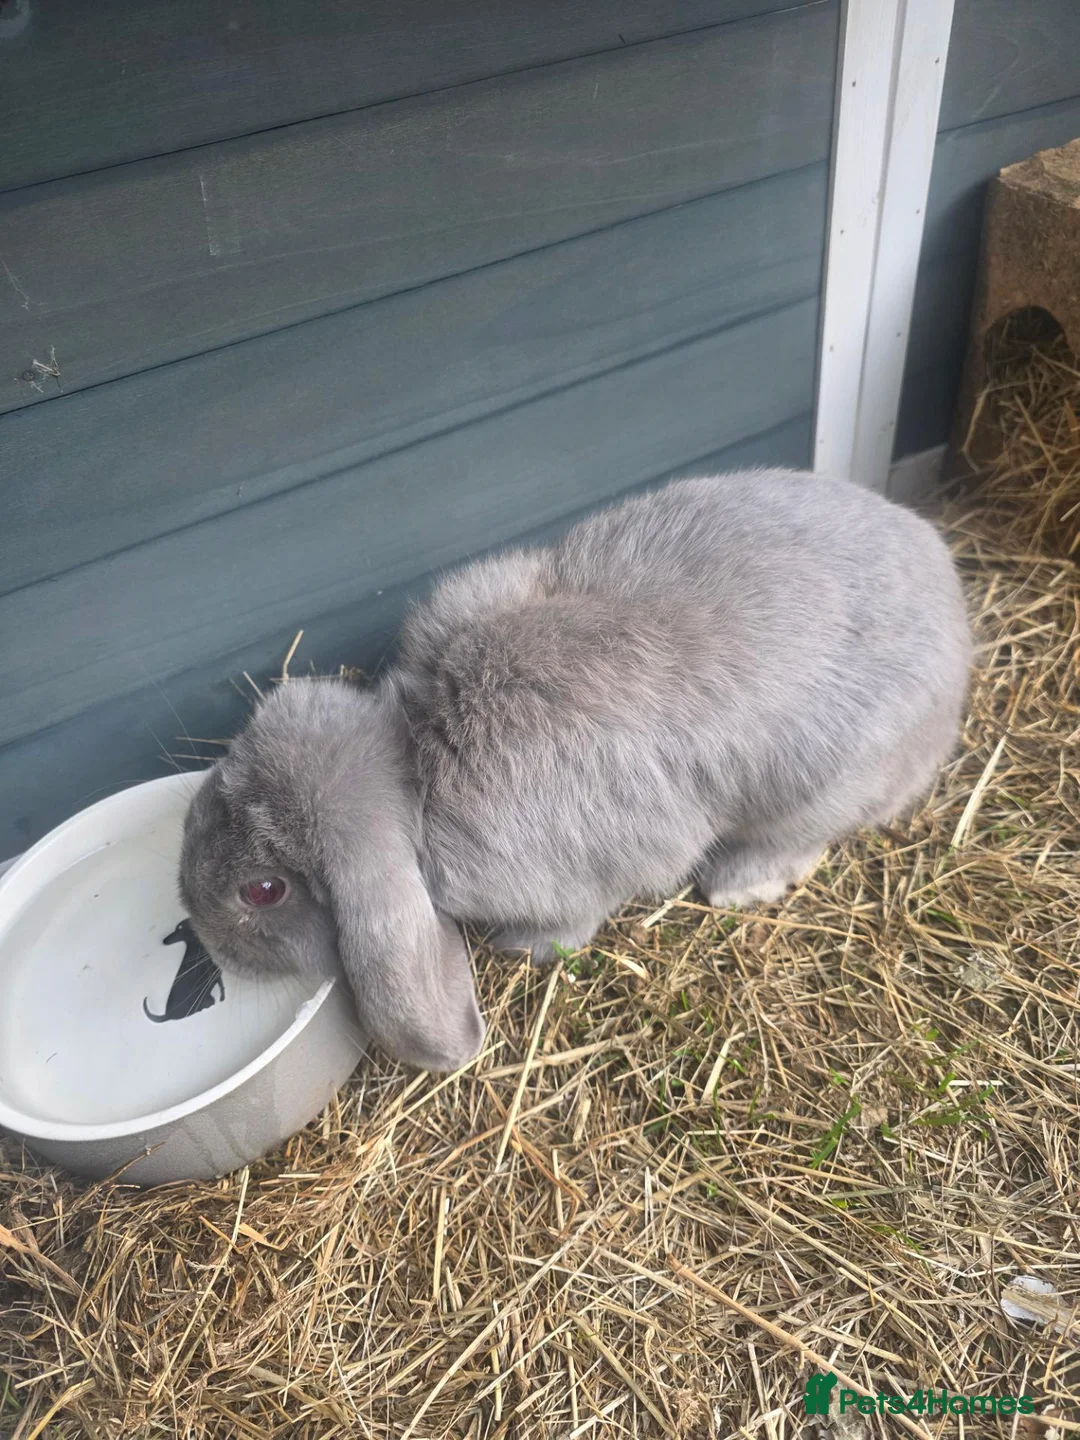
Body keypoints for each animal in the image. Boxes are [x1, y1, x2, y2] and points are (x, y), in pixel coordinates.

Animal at [178, 468, 971, 1074]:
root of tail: (959, 628)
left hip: (824, 786)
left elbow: (576, 920)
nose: (198, 924)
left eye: (264, 891)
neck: (412, 768)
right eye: (209, 799)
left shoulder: (588, 878)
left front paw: (521, 948)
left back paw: (740, 883)